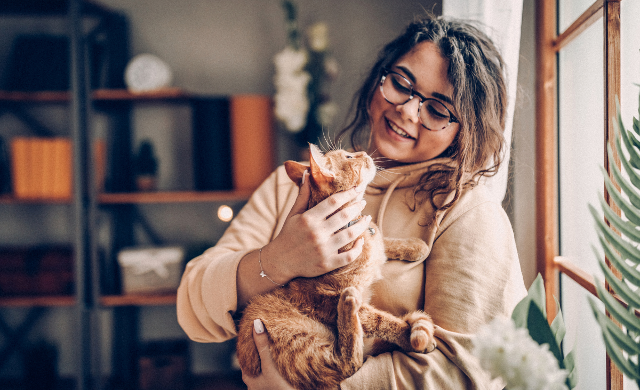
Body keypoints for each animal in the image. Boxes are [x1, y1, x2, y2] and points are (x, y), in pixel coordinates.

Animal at [238, 144, 438, 390]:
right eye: (350, 156)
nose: (364, 152)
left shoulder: (374, 240)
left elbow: (384, 242)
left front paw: (416, 246)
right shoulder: (325, 297)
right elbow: (381, 321)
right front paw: (408, 335)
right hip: (297, 339)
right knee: (346, 365)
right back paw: (348, 305)